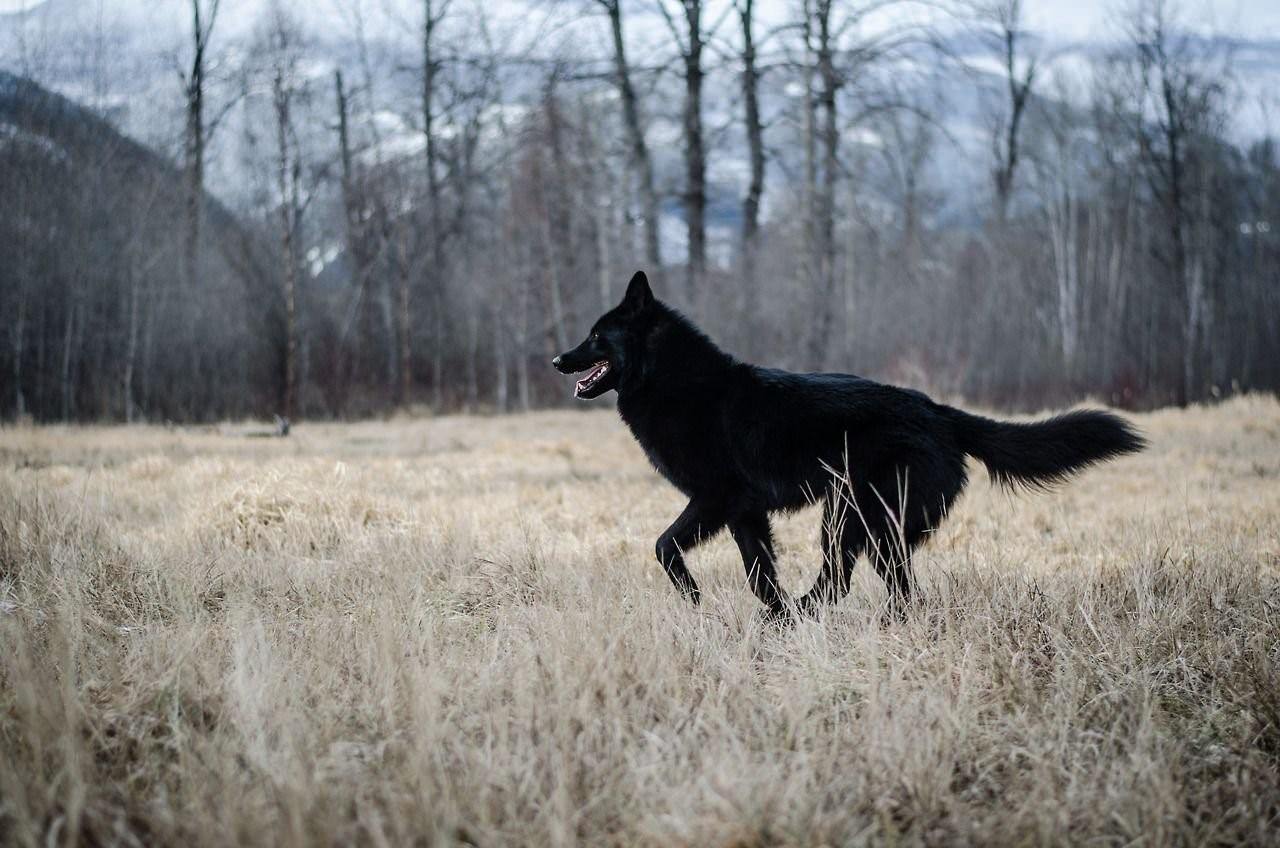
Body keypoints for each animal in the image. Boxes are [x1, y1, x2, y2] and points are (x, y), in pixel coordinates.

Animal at [550, 272, 1141, 617]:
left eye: (597, 336)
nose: (557, 360)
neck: (674, 380)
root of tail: (938, 412)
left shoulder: (715, 498)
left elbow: (664, 546)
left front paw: (698, 599)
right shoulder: (744, 512)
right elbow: (759, 572)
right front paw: (770, 617)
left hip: (853, 518)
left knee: (845, 581)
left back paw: (816, 614)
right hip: (867, 527)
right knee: (886, 587)